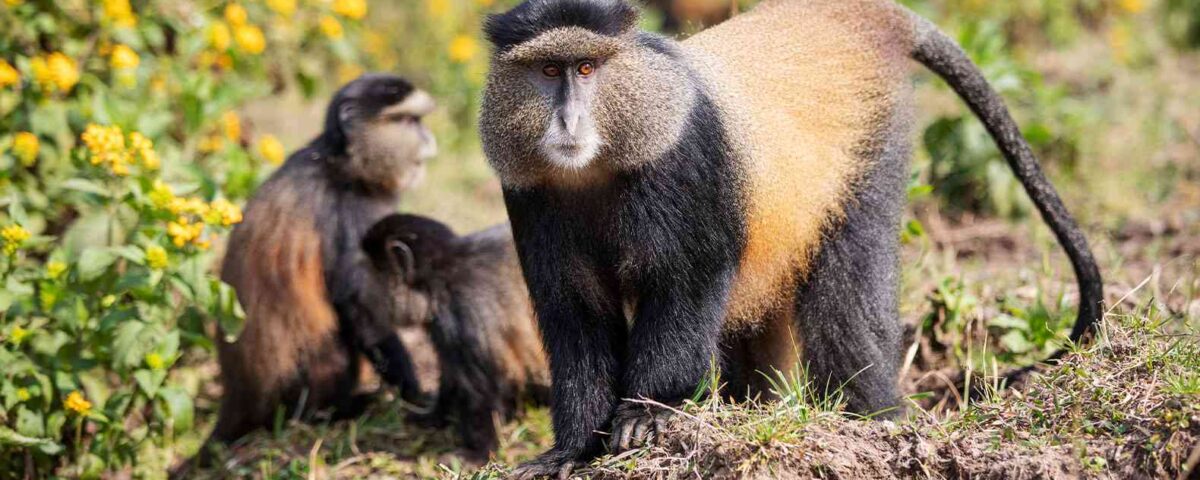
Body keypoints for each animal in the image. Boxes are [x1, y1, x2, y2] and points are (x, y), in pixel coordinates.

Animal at [207, 74, 438, 449]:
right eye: (408, 121)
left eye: (419, 121)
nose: (428, 140)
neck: (340, 163)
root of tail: (236, 402)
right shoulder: (351, 211)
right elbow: (359, 307)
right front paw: (416, 395)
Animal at [360, 213, 551, 461]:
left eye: (374, 273)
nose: (364, 290)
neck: (439, 278)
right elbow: (451, 373)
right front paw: (433, 417)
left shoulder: (462, 307)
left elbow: (480, 387)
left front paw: (477, 452)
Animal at [477, 0, 1104, 476]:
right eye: (548, 72)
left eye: (586, 68)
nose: (567, 122)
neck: (600, 165)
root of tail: (851, 16)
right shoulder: (530, 195)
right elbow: (574, 313)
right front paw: (570, 449)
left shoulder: (684, 160)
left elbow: (689, 282)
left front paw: (650, 413)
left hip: (870, 152)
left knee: (847, 307)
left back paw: (874, 424)